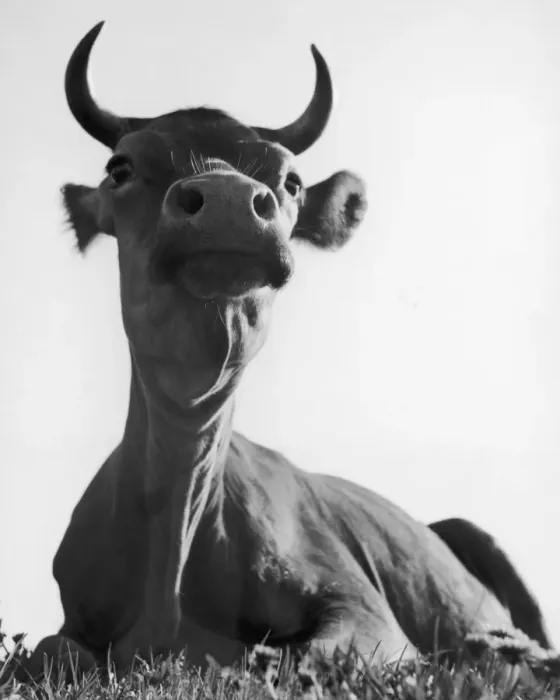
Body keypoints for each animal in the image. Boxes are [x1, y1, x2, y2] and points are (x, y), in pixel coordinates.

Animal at [23, 21, 552, 681]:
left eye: (292, 180)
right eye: (120, 168)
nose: (227, 198)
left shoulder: (367, 613)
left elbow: (283, 656)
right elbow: (51, 651)